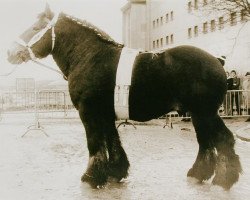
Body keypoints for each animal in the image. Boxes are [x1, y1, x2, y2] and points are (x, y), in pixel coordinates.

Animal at [7, 4, 242, 189]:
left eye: (36, 28)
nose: (11, 53)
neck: (89, 56)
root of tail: (217, 59)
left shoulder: (89, 112)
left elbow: (95, 144)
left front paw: (91, 177)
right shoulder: (106, 115)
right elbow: (112, 141)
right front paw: (115, 173)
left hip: (205, 113)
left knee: (223, 139)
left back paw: (223, 180)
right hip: (198, 114)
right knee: (206, 142)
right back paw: (199, 174)